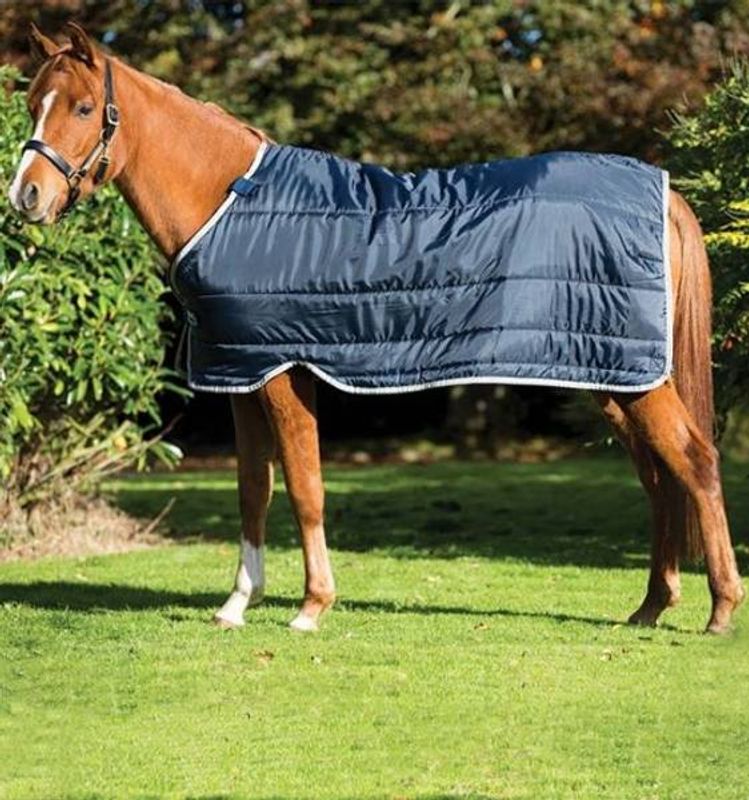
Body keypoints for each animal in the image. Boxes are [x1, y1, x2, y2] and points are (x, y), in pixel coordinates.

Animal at [8, 22, 744, 634]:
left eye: (82, 108)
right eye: (33, 102)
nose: (26, 196)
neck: (231, 202)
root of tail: (662, 192)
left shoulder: (282, 373)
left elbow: (304, 487)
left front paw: (311, 607)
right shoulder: (240, 374)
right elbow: (253, 491)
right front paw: (237, 604)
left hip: (634, 379)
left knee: (696, 462)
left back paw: (718, 611)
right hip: (609, 375)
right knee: (659, 476)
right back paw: (650, 607)